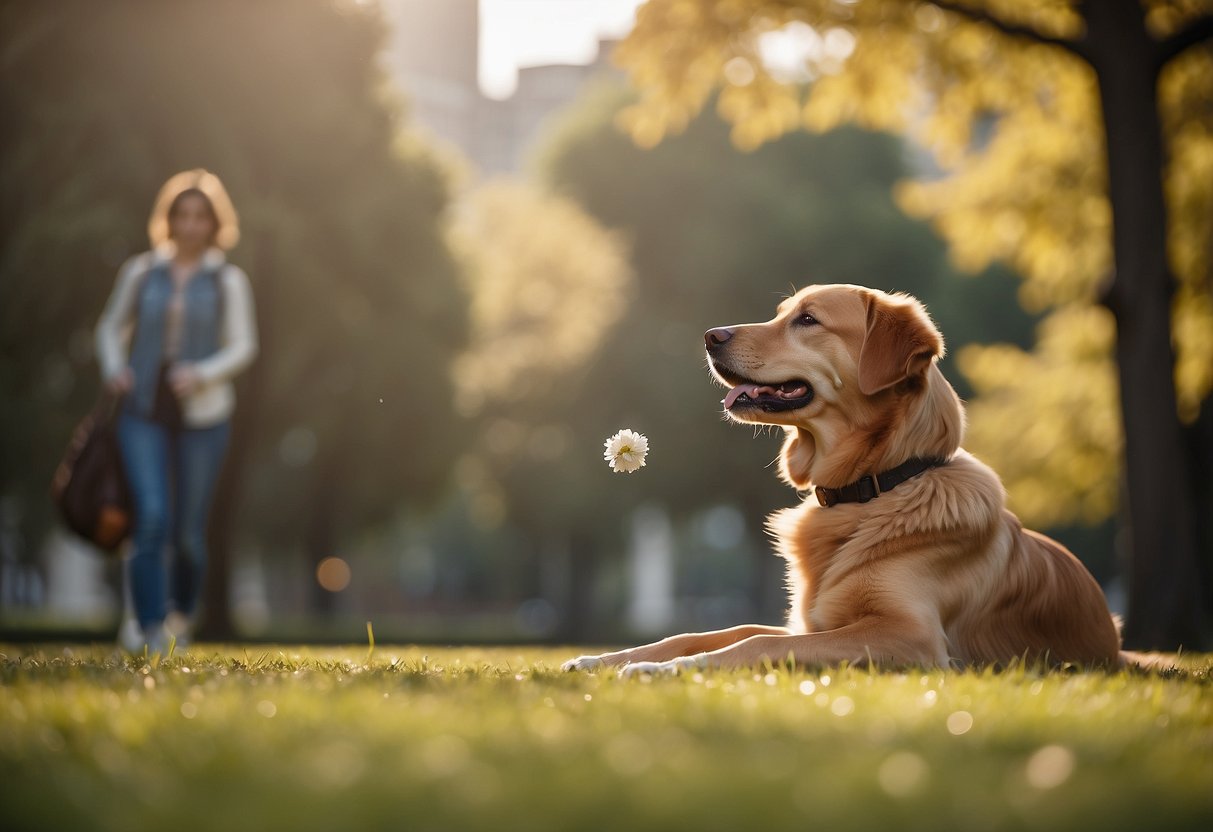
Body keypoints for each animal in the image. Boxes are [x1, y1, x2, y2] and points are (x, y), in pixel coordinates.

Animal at [567, 286, 1125, 679]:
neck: (872, 488)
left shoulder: (911, 636)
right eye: (782, 312)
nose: (709, 335)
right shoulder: (810, 621)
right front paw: (606, 660)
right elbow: (712, 630)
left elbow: (756, 643)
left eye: (808, 320)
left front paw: (663, 671)